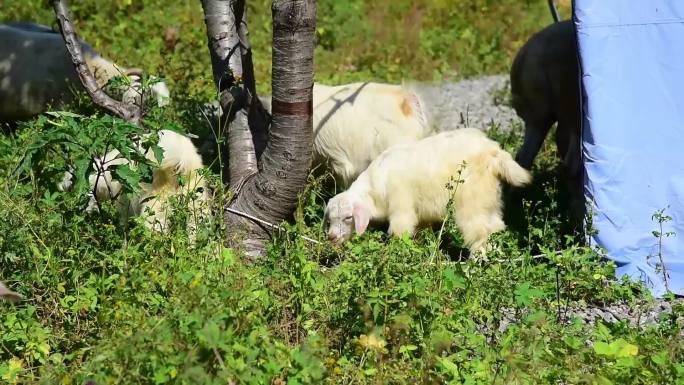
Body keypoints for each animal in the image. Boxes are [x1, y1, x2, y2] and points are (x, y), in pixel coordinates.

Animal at [324, 128, 532, 255]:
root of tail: (494, 152)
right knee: (496, 227)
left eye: (348, 217)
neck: (374, 189)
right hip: (489, 199)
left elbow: (400, 231)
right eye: (330, 219)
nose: (331, 237)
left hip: (471, 201)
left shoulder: (401, 206)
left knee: (479, 232)